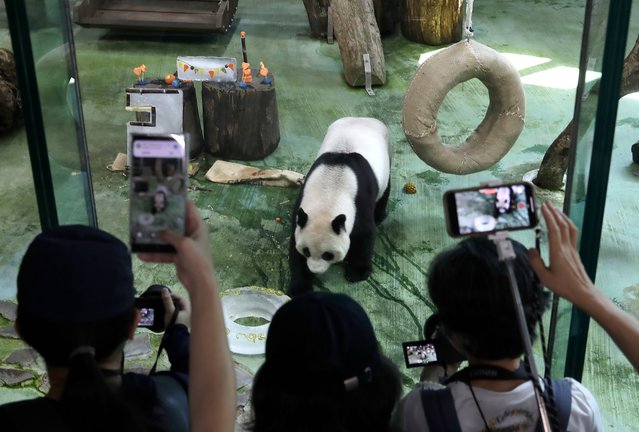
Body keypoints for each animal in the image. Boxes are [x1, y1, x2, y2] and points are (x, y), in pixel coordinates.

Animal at [288, 116, 390, 296]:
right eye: (306, 251)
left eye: (327, 255)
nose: (315, 270)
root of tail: (363, 118)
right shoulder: (302, 204)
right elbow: (294, 241)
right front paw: (300, 287)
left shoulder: (359, 201)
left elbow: (364, 235)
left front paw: (357, 272)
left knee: (385, 191)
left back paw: (379, 216)